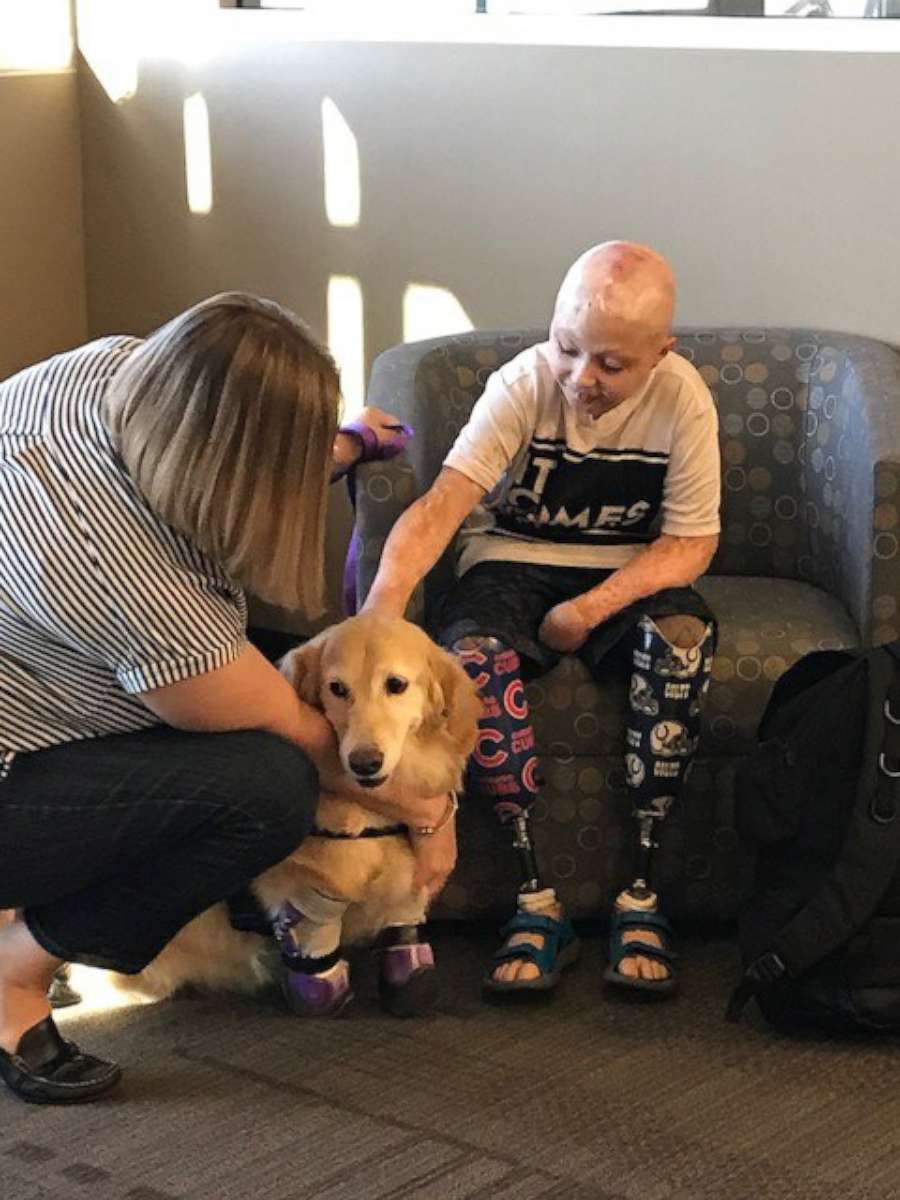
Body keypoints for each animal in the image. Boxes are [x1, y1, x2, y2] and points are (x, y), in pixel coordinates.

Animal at [112, 614, 482, 1017]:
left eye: (396, 685)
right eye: (337, 688)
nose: (364, 763)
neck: (369, 815)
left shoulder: (407, 885)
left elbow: (403, 931)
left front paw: (411, 981)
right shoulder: (305, 889)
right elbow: (316, 943)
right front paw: (321, 990)